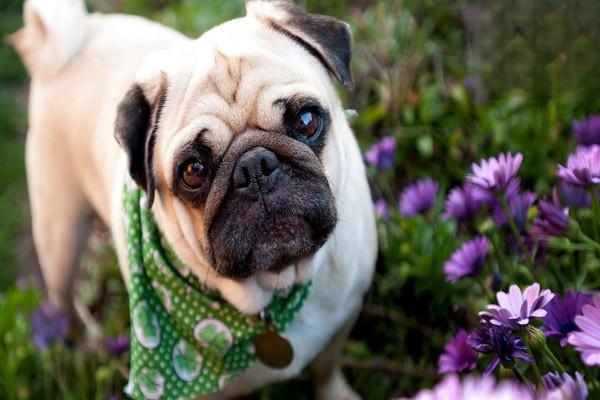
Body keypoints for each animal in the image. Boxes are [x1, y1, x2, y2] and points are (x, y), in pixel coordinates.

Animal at [10, 0, 376, 398]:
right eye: (194, 170)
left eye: (307, 121)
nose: (255, 167)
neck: (273, 289)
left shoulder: (344, 315)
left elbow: (327, 368)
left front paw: (337, 393)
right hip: (60, 234)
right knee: (61, 298)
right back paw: (82, 347)